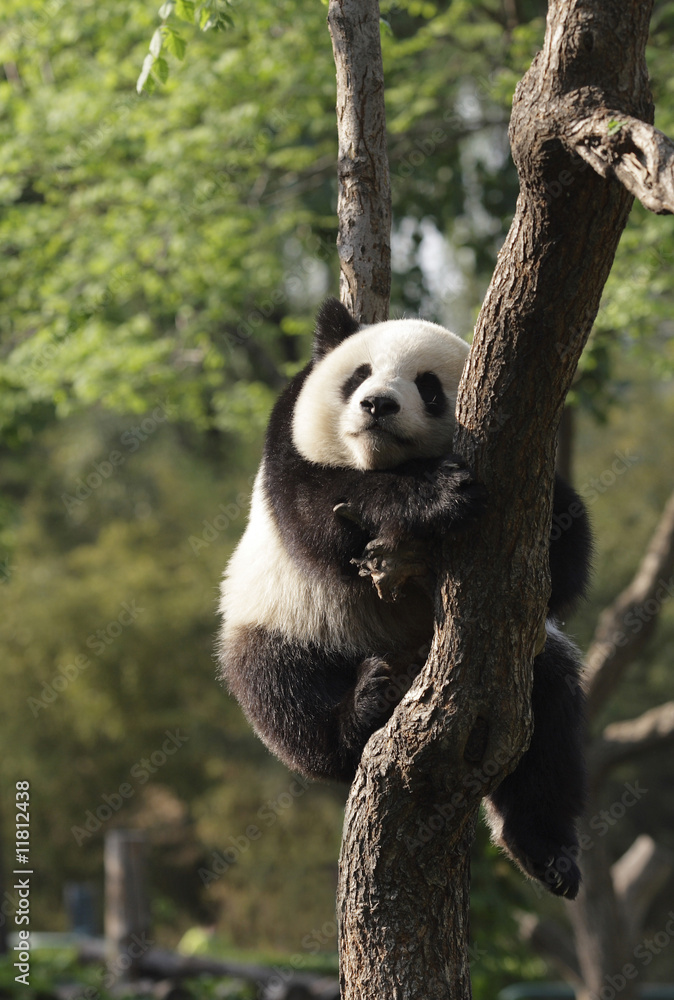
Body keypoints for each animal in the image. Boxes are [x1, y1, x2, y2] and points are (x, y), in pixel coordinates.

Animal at [218, 297, 590, 899]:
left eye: (429, 387)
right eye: (359, 375)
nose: (378, 405)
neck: (383, 459)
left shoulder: (532, 479)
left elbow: (564, 562)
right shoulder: (286, 447)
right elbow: (321, 509)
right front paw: (436, 495)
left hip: (523, 674)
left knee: (552, 725)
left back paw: (545, 852)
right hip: (286, 618)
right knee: (281, 690)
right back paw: (363, 704)